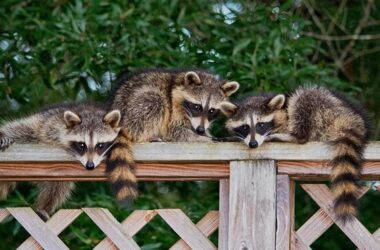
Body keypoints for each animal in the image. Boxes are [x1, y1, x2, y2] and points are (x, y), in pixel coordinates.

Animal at [107, 69, 238, 203]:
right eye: (197, 107)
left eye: (211, 110)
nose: (200, 130)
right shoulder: (173, 108)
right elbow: (177, 132)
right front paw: (208, 138)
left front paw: (207, 134)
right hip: (134, 108)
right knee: (154, 101)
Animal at [224, 86, 370, 223]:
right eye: (245, 127)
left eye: (261, 125)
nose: (253, 144)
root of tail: (352, 118)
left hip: (325, 109)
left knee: (304, 98)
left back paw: (292, 136)